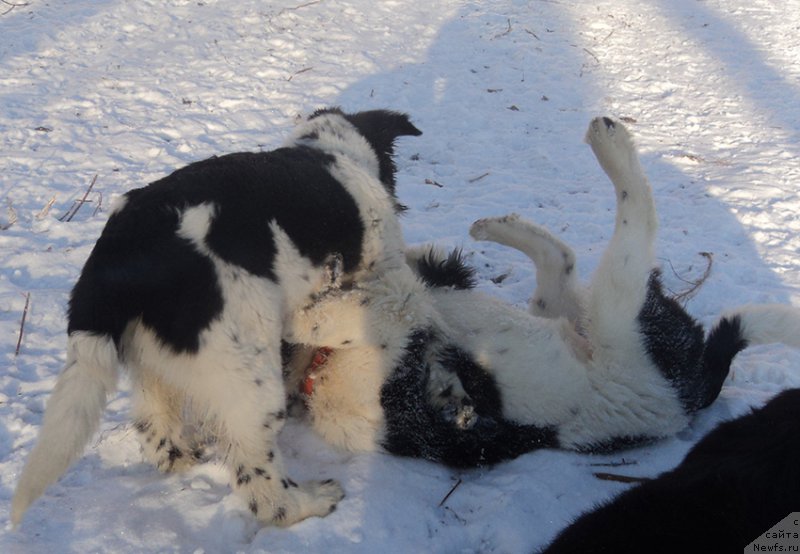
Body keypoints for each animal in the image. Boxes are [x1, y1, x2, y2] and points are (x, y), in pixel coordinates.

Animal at [12, 105, 454, 524]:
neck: (332, 152)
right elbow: (404, 302)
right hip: (250, 375)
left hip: (156, 359)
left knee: (156, 428)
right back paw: (310, 501)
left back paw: (182, 455)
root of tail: (116, 253)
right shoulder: (379, 274)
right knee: (262, 485)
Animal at [284, 117, 800, 466]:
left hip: (594, 318)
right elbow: (382, 304)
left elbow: (399, 286)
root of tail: (696, 389)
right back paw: (604, 143)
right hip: (611, 317)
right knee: (601, 241)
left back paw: (506, 217)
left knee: (585, 245)